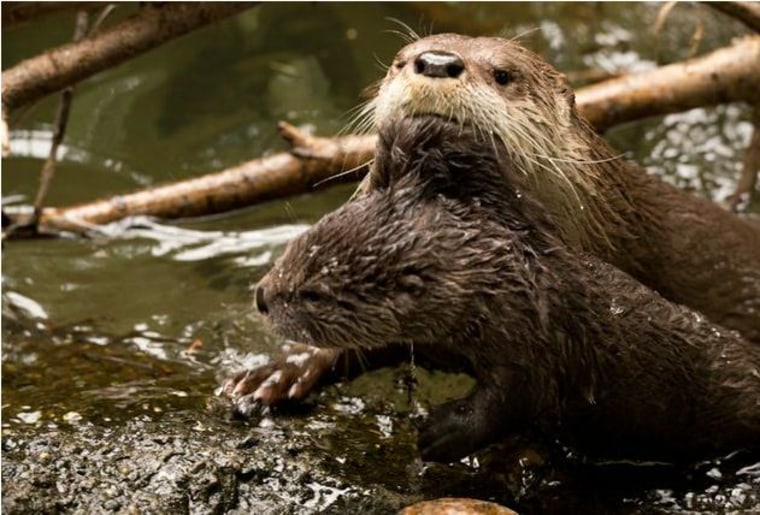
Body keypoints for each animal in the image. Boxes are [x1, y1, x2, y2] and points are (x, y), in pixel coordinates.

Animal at [245, 118, 760, 464]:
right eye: (294, 247)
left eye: (314, 293)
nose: (262, 296)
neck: (496, 290)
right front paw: (281, 372)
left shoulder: (538, 346)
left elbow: (511, 400)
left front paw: (443, 432)